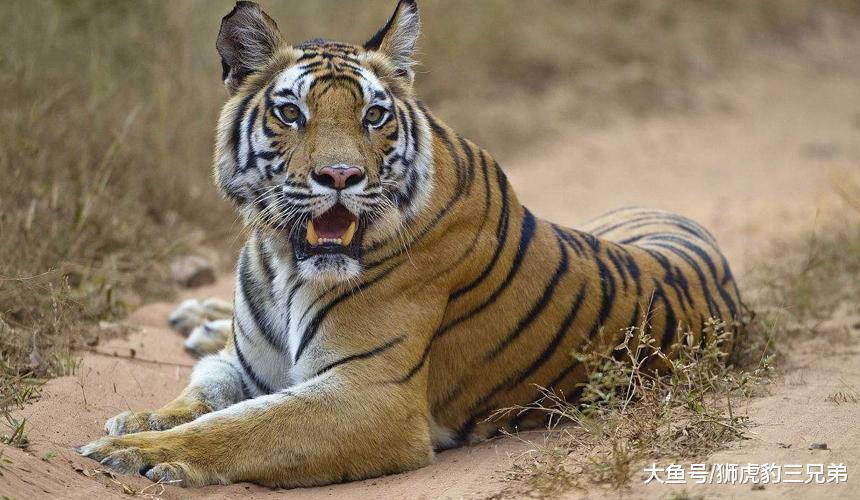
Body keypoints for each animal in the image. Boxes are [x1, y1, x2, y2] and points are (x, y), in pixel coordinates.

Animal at [78, 0, 743, 488]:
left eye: (373, 117)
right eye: (291, 113)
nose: (340, 176)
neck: (281, 260)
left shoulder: (370, 398)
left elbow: (241, 428)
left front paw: (131, 449)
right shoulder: (246, 364)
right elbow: (204, 393)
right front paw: (140, 417)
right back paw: (195, 316)